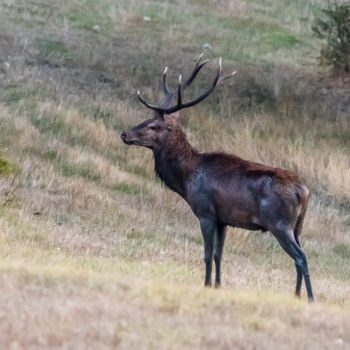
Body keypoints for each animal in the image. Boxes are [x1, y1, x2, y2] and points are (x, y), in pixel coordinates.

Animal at [121, 54, 314, 300]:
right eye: (146, 119)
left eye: (154, 125)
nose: (124, 134)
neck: (186, 179)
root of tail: (303, 191)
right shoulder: (224, 219)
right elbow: (218, 255)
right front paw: (218, 286)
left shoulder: (206, 212)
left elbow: (206, 254)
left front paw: (205, 285)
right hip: (297, 226)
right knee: (300, 257)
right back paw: (297, 296)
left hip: (279, 223)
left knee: (301, 257)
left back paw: (309, 298)